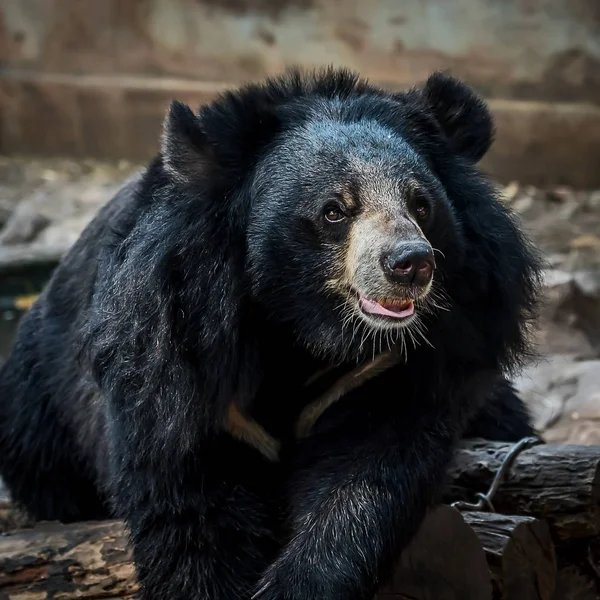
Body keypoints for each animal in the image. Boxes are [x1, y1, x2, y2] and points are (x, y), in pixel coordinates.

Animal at [0, 70, 540, 600]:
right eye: (334, 210)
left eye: (421, 204)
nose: (410, 263)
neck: (300, 328)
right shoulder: (174, 354)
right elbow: (187, 503)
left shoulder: (391, 366)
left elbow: (367, 475)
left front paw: (301, 581)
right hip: (38, 412)